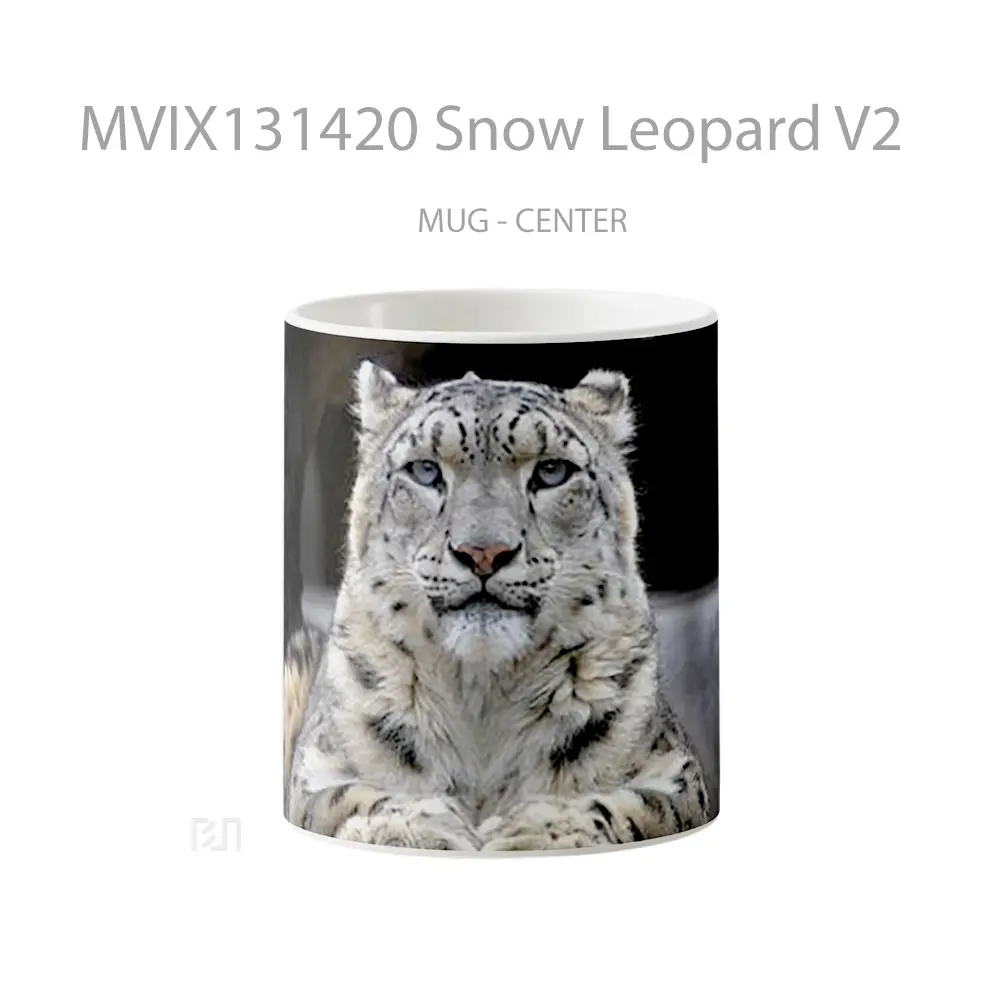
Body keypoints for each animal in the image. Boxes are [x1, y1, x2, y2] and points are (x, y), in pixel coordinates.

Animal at [284, 361, 710, 851]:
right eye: (425, 470)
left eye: (552, 471)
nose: (483, 552)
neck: (482, 695)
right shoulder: (316, 765)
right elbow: (342, 798)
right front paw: (415, 828)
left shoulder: (675, 769)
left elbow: (641, 805)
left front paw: (537, 832)